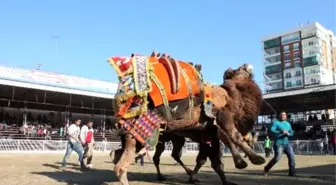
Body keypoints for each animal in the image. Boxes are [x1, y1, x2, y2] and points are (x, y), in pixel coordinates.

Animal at [107, 51, 266, 185]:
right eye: (240, 69)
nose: (246, 64)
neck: (231, 96)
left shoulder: (209, 132)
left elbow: (214, 161)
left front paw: (226, 180)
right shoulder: (221, 115)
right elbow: (235, 136)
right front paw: (255, 159)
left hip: (145, 135)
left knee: (119, 154)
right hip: (145, 133)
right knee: (123, 165)